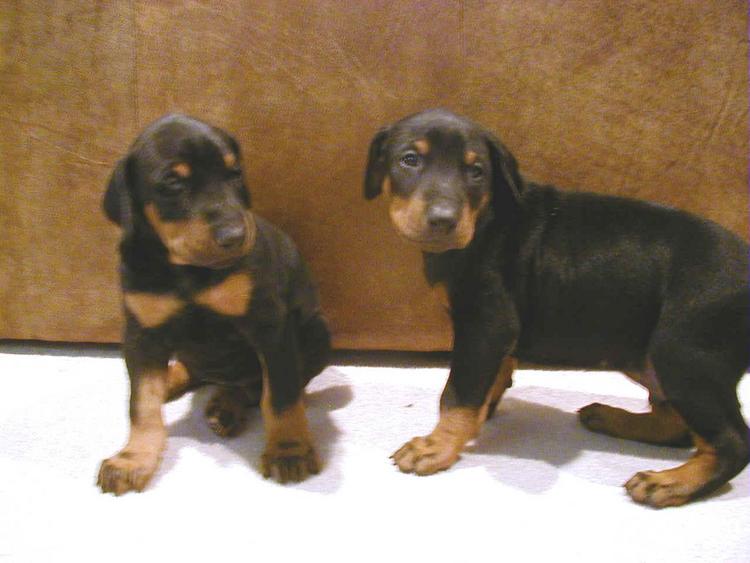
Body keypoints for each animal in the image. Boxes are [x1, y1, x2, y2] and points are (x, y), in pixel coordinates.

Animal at [98, 114, 330, 494]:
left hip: (317, 333)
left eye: (234, 173)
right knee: (188, 371)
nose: (235, 236)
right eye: (173, 182)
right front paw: (133, 459)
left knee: (255, 386)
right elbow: (142, 403)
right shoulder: (141, 333)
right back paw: (172, 382)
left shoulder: (269, 325)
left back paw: (225, 405)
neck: (186, 271)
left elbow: (280, 395)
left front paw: (289, 450)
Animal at [364, 108, 748, 508]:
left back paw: (670, 482)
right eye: (409, 159)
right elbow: (495, 374)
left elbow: (458, 393)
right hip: (644, 355)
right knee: (677, 423)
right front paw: (483, 413)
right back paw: (612, 419)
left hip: (683, 352)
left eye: (477, 171)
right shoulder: (494, 334)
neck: (485, 220)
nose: (443, 220)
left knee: (732, 442)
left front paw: (437, 446)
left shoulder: (487, 325)